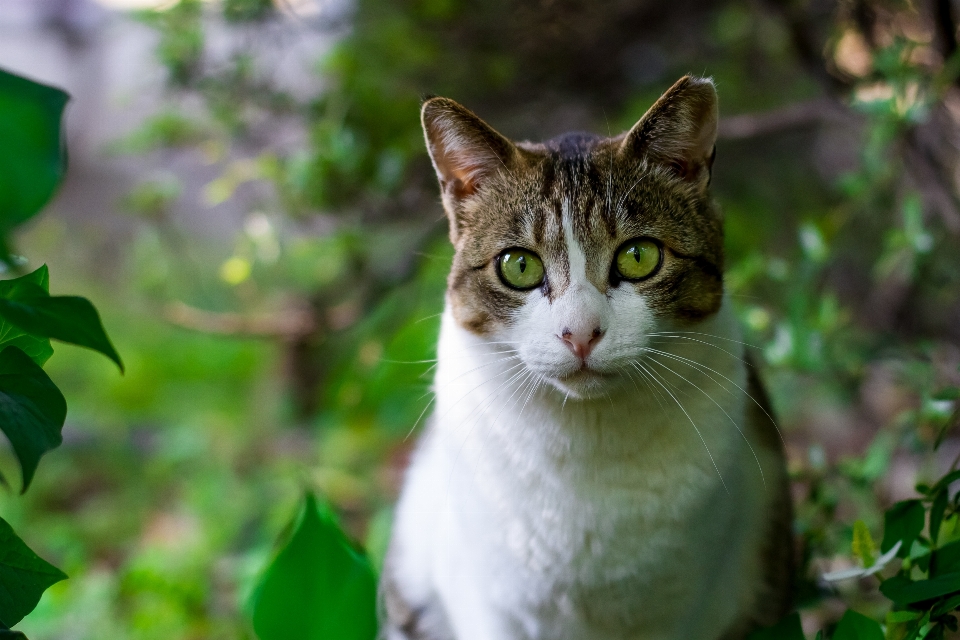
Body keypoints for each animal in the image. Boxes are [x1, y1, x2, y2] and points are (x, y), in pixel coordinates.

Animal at [378, 76, 792, 640]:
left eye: (639, 257)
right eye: (519, 266)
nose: (580, 334)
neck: (584, 439)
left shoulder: (683, 609)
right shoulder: (487, 604)